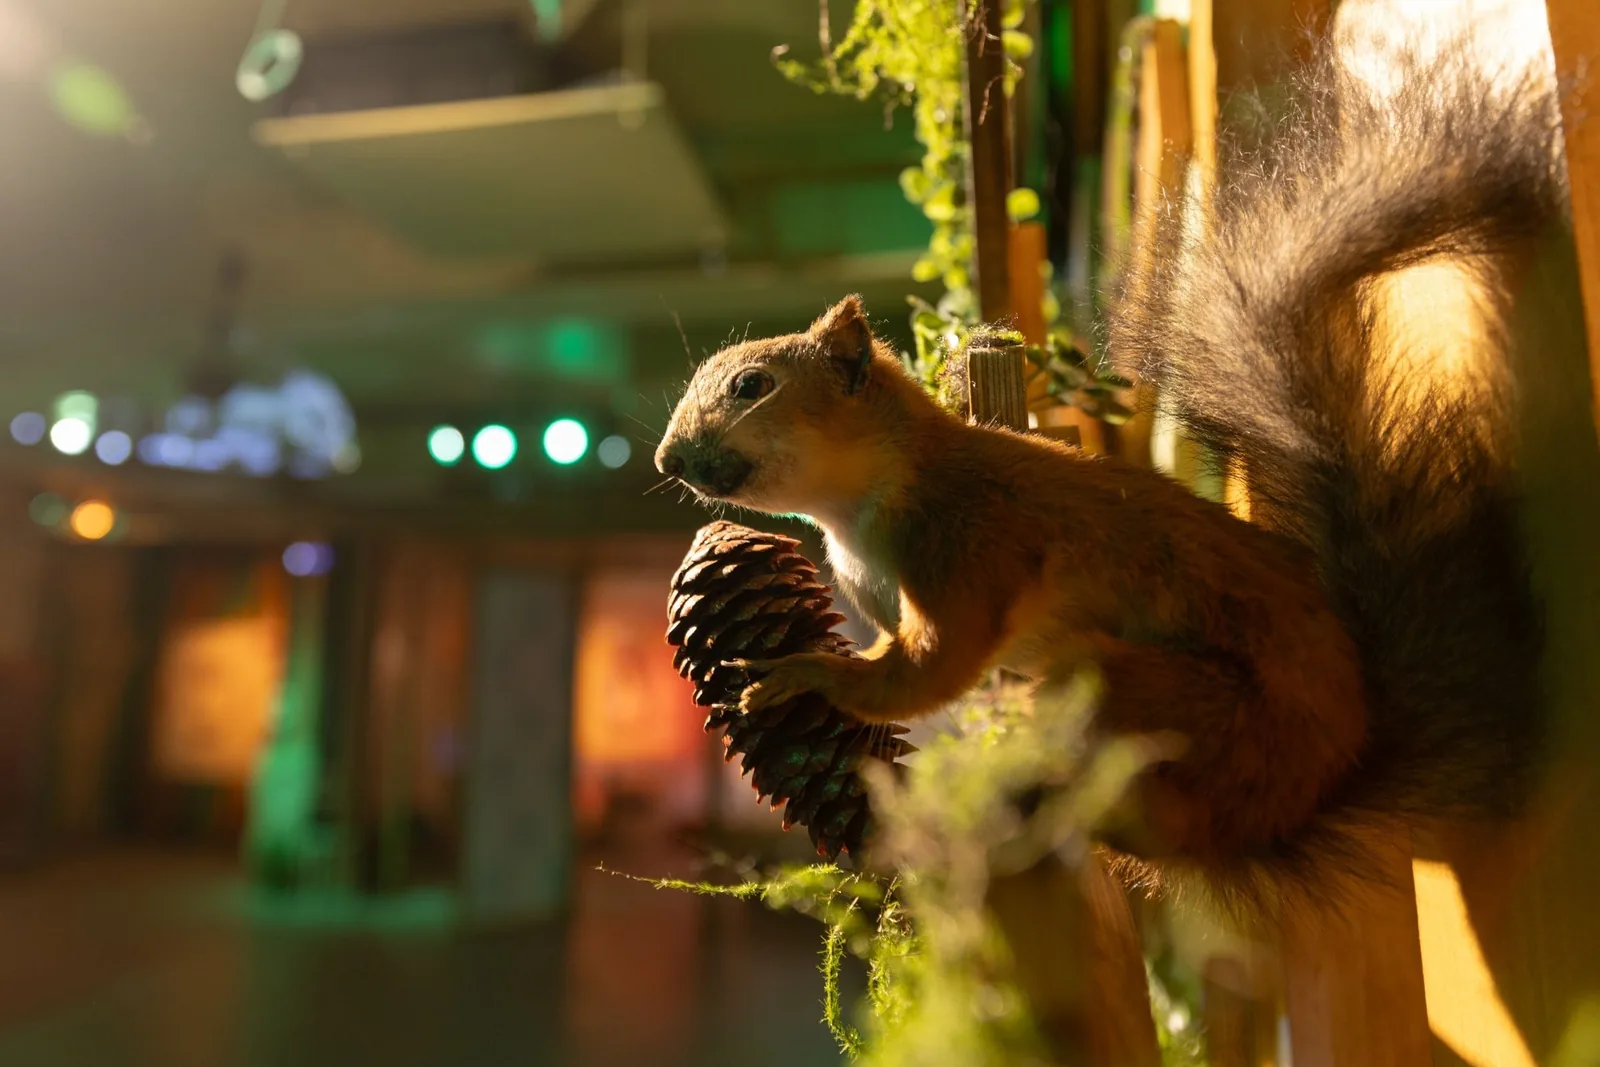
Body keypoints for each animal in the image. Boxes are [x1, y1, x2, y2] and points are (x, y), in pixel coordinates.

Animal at [654, 32, 1566, 900]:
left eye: (751, 384)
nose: (667, 455)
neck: (855, 510)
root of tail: (1308, 792)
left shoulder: (967, 546)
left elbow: (928, 670)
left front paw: (806, 672)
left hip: (1153, 703)